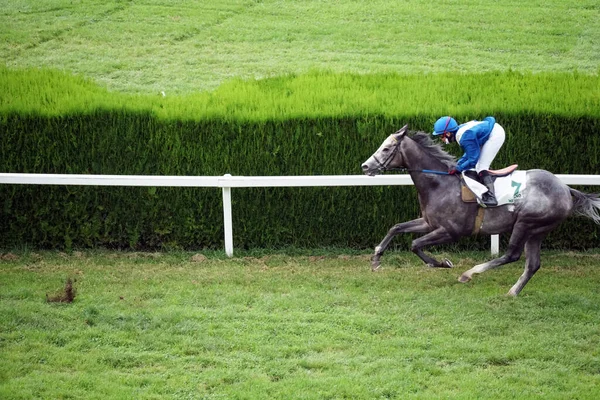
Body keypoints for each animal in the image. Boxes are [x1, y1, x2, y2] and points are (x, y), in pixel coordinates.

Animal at [360, 125, 600, 296]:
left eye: (387, 148)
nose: (365, 166)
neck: (440, 183)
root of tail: (565, 188)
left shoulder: (451, 231)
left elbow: (415, 244)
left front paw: (441, 263)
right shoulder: (429, 222)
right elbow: (397, 227)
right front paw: (376, 259)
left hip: (526, 223)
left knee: (512, 255)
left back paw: (469, 274)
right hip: (537, 231)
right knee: (533, 264)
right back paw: (513, 292)